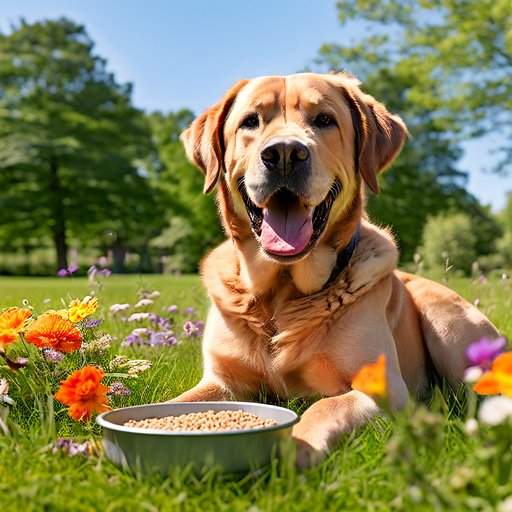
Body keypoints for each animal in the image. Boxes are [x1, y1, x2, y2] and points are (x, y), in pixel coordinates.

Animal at [174, 72, 498, 468]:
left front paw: (294, 445)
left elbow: (326, 407)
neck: (282, 291)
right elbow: (175, 404)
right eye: (250, 121)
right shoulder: (221, 381)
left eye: (324, 120)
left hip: (448, 326)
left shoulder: (383, 390)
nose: (284, 154)